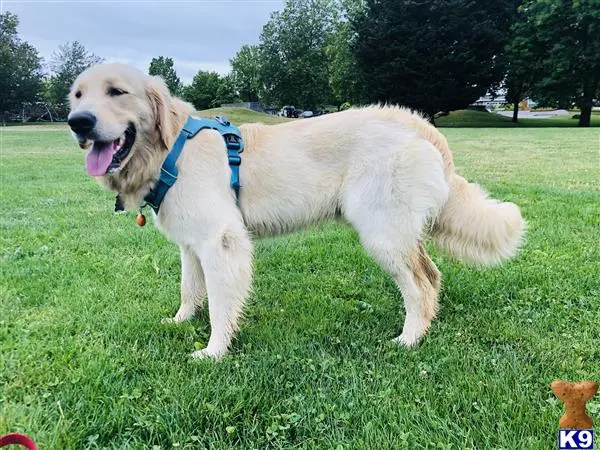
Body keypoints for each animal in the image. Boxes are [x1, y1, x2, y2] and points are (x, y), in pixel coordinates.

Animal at [67, 63, 524, 358]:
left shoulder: (221, 242)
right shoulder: (191, 244)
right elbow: (189, 290)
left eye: (116, 91)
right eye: (77, 96)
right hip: (398, 232)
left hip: (382, 233)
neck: (167, 149)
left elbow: (219, 304)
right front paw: (180, 321)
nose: (78, 122)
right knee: (432, 275)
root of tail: (419, 124)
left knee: (420, 285)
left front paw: (214, 350)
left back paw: (408, 340)